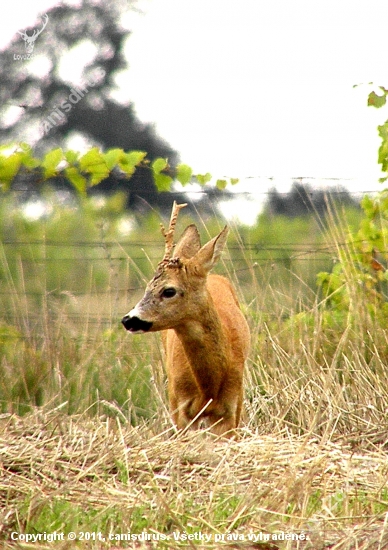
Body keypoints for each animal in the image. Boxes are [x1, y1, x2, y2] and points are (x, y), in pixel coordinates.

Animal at [121, 203, 250, 440]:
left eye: (169, 291)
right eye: (146, 287)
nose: (128, 319)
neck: (209, 387)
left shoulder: (232, 408)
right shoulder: (180, 407)